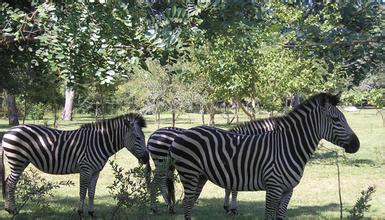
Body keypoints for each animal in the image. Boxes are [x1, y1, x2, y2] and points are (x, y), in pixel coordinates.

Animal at [0, 112, 148, 216]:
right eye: (138, 138)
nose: (147, 159)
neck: (99, 142)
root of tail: (8, 132)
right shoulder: (85, 169)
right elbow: (82, 192)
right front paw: (80, 213)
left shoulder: (96, 171)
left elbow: (92, 192)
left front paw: (92, 213)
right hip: (17, 160)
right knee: (10, 183)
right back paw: (12, 210)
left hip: (22, 161)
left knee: (8, 181)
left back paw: (9, 209)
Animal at [148, 115, 284, 213]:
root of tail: (153, 134)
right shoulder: (235, 168)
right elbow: (233, 190)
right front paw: (232, 208)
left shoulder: (232, 169)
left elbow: (229, 188)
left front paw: (228, 207)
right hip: (162, 162)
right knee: (155, 183)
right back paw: (156, 208)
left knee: (161, 182)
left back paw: (169, 206)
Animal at [170, 93, 358, 220]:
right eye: (335, 119)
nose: (357, 145)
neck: (289, 146)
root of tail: (182, 134)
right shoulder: (273, 188)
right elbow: (268, 216)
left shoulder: (287, 190)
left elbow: (280, 216)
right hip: (189, 173)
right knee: (187, 203)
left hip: (200, 176)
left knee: (190, 202)